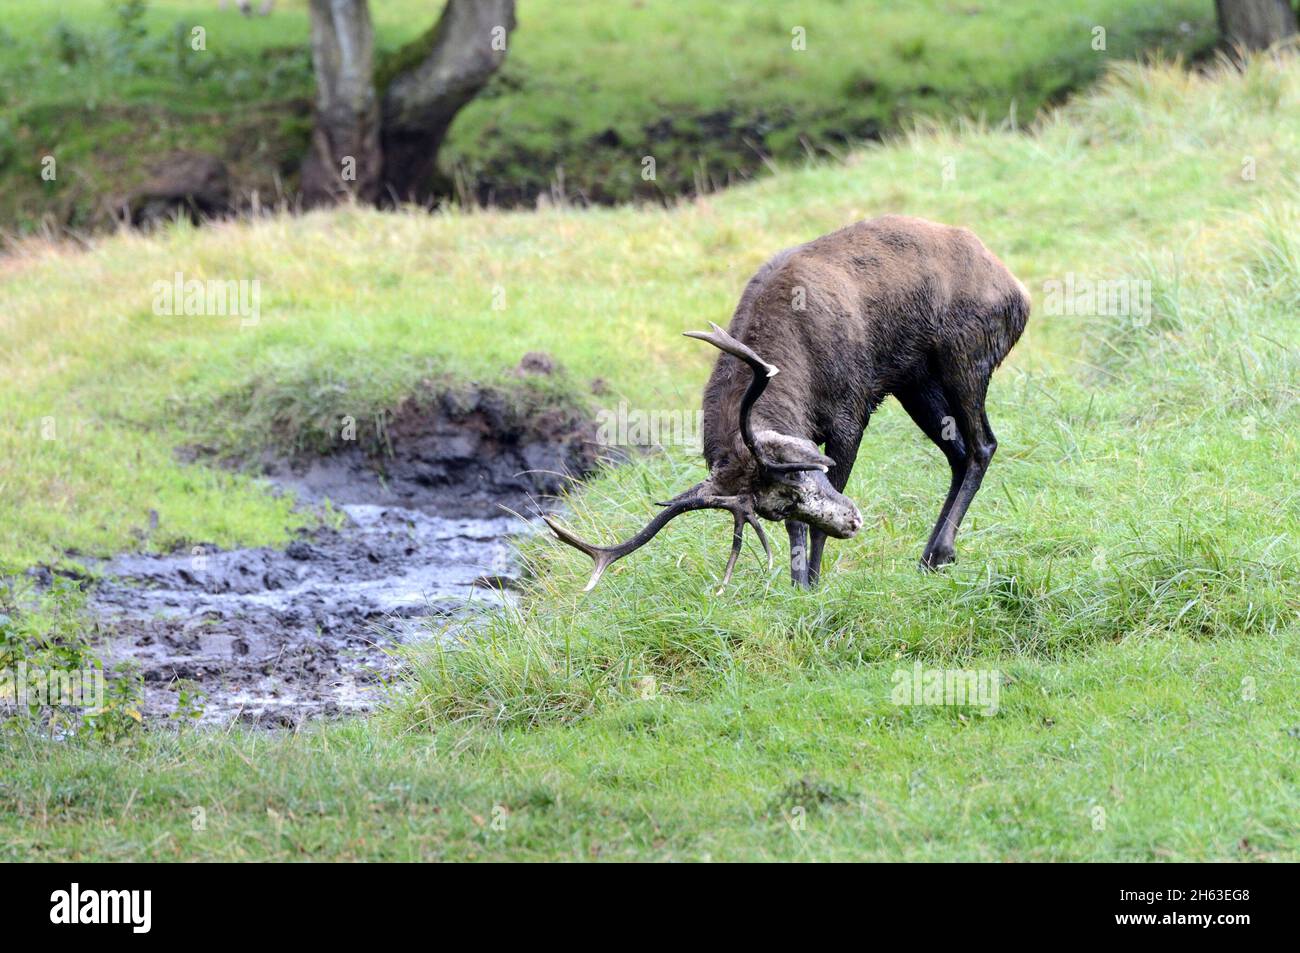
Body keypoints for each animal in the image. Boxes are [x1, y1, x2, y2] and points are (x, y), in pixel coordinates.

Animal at [543, 214, 1029, 587]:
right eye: (775, 507)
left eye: (800, 472)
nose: (853, 521)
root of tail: (1018, 292)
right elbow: (803, 527)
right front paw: (801, 583)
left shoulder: (850, 410)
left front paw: (812, 580)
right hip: (914, 382)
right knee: (958, 452)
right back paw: (931, 555)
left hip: (965, 356)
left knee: (983, 444)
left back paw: (940, 551)